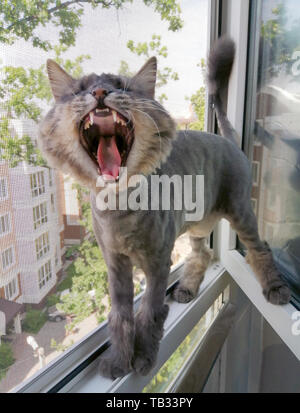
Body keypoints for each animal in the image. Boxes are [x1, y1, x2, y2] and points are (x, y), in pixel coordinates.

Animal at [38, 37, 290, 378]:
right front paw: (120, 359)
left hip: (241, 213)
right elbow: (120, 316)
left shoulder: (158, 264)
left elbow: (149, 312)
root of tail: (227, 140)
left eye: (122, 86)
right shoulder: (116, 267)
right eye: (79, 89)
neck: (119, 208)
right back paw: (187, 287)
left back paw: (275, 287)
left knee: (260, 248)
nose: (100, 92)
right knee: (202, 253)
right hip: (198, 224)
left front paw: (143, 356)